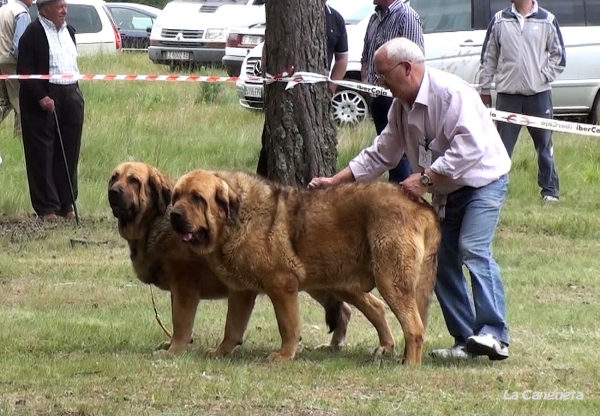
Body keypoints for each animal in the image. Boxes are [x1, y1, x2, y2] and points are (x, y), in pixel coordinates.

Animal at [108, 161, 358, 356]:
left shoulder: (184, 287)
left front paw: (175, 349)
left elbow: (181, 322)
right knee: (345, 310)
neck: (155, 221)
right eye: (114, 177)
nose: (113, 192)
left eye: (134, 180)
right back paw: (334, 344)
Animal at [169, 169, 440, 364]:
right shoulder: (241, 292)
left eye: (197, 198)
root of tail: (423, 207)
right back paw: (384, 348)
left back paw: (409, 364)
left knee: (414, 326)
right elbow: (232, 327)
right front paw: (221, 352)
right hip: (343, 281)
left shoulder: (282, 286)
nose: (174, 215)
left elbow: (287, 325)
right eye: (175, 196)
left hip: (390, 279)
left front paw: (284, 356)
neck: (235, 219)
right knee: (376, 308)